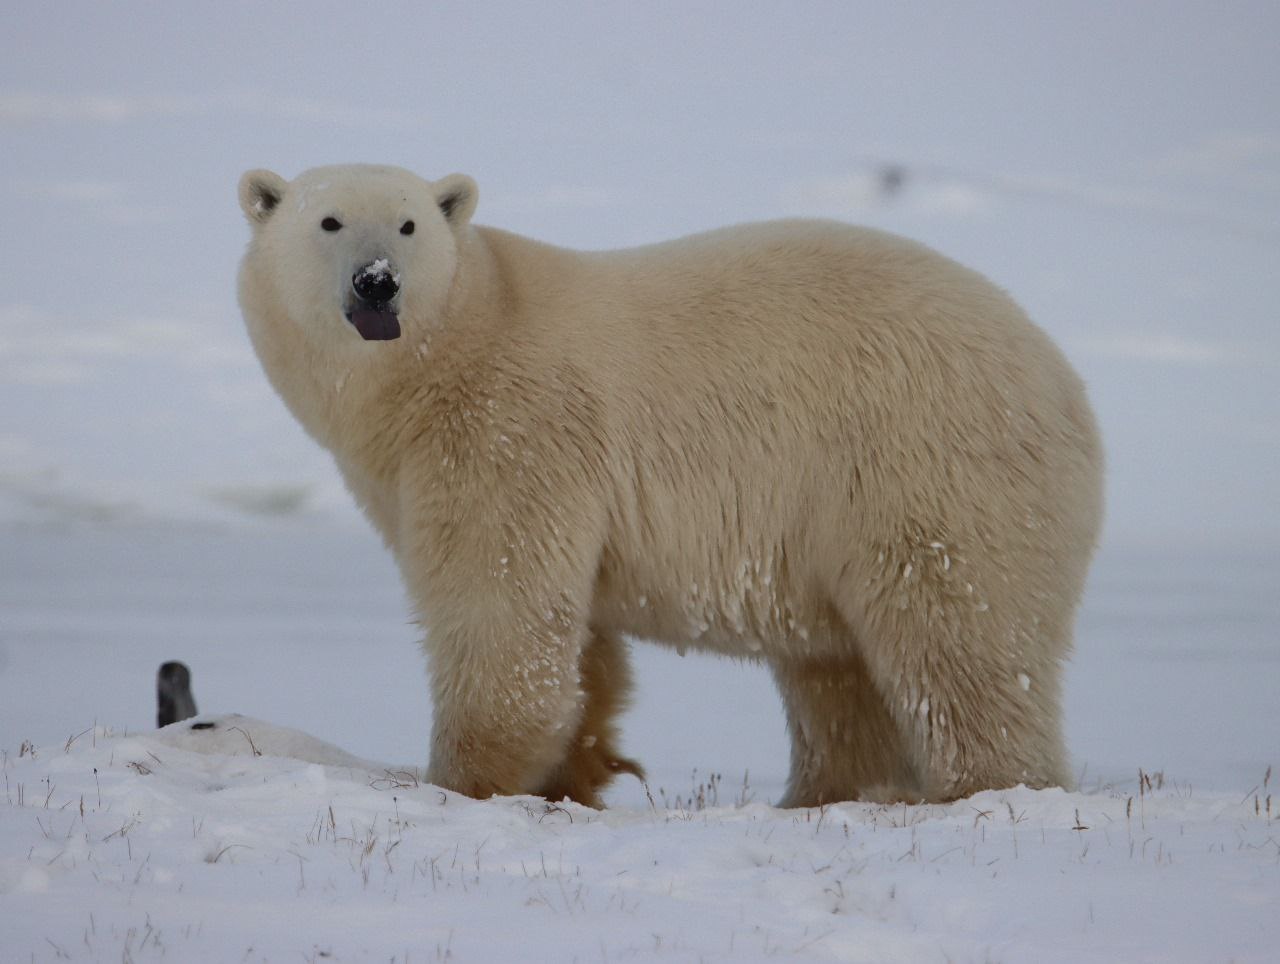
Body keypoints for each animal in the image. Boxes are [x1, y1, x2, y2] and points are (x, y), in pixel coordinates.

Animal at [238, 163, 1100, 803]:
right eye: (329, 222)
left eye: (410, 224)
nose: (377, 282)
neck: (452, 347)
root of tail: (1064, 380)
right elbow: (576, 636)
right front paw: (577, 769)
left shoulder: (510, 428)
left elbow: (499, 604)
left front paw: (463, 780)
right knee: (837, 674)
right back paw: (821, 795)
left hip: (926, 461)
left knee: (957, 639)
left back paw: (990, 787)